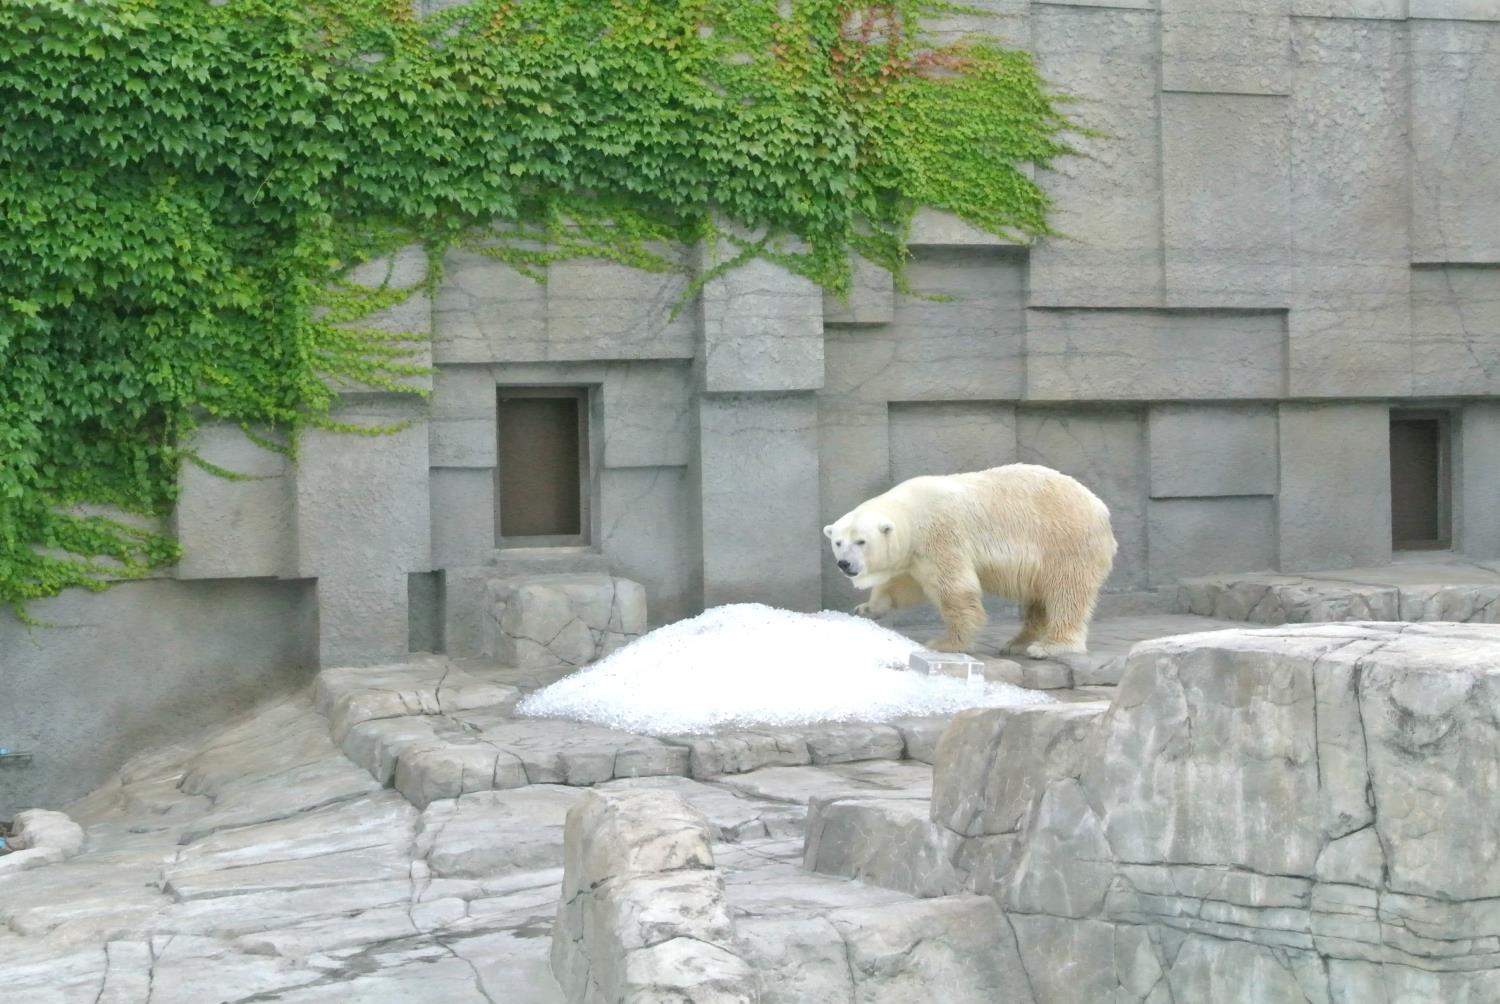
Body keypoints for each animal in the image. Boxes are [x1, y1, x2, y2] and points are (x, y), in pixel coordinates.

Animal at [828, 465, 1122, 657]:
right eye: (838, 542)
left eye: (861, 541)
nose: (845, 564)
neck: (910, 510)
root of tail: (1100, 509)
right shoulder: (914, 554)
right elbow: (902, 587)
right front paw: (866, 608)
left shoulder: (941, 535)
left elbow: (954, 589)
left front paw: (946, 643)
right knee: (1038, 598)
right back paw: (1016, 642)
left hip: (1065, 541)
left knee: (1066, 591)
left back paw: (1050, 646)